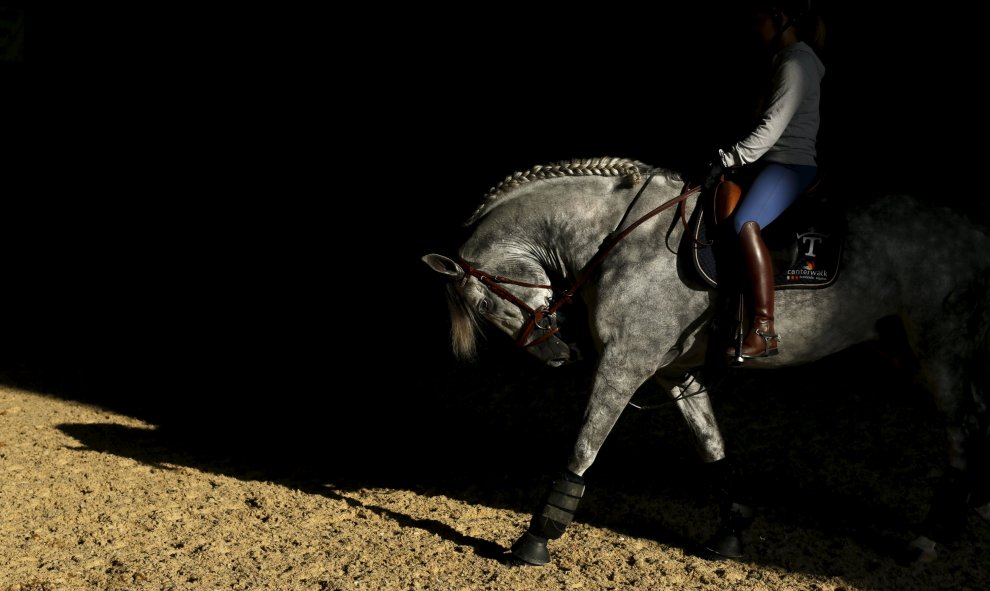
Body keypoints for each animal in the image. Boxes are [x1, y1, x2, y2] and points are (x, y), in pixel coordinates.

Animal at [422, 157, 988, 568]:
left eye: (484, 305)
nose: (559, 356)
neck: (619, 238)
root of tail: (972, 229)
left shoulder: (623, 366)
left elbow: (583, 447)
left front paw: (535, 539)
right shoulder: (676, 373)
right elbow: (712, 448)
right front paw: (731, 532)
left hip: (939, 348)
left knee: (963, 432)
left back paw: (929, 539)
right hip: (909, 351)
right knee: (976, 420)